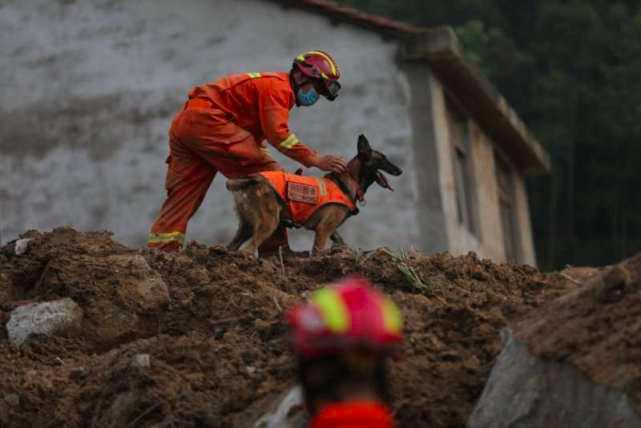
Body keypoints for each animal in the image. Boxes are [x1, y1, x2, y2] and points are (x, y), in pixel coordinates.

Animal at [225, 135, 400, 254]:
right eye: (383, 159)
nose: (401, 170)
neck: (348, 180)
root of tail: (251, 178)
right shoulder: (323, 229)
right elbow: (317, 252)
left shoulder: (331, 230)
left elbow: (341, 242)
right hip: (269, 223)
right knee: (247, 250)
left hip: (246, 226)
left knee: (232, 247)